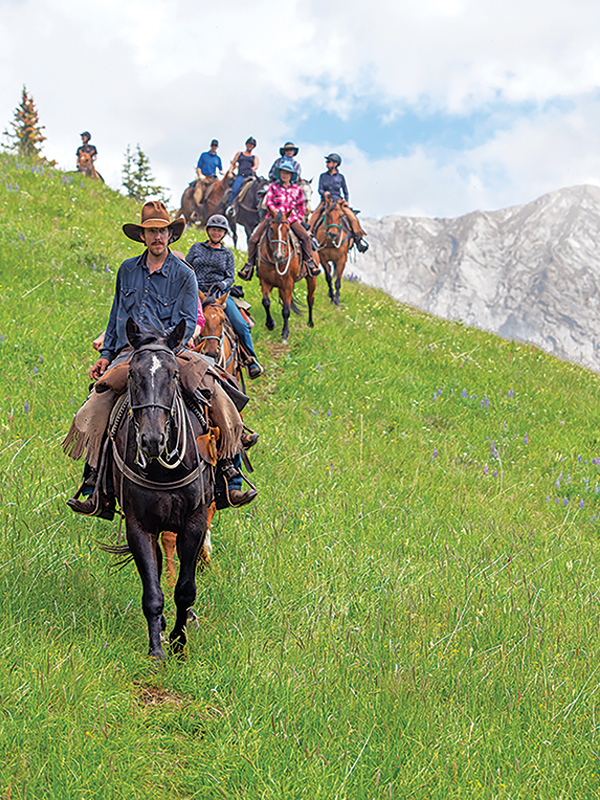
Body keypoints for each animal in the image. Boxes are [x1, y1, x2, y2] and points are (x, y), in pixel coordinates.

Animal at [107, 318, 215, 660]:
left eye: (174, 374)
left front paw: (180, 645)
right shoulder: (139, 526)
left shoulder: (194, 522)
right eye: (132, 374)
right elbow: (153, 591)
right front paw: (157, 649)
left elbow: (185, 590)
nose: (152, 441)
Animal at [257, 210, 316, 342]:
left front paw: (284, 335)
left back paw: (310, 323)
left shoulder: (288, 284)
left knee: (310, 298)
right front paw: (270, 324)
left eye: (288, 229)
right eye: (271, 228)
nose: (279, 255)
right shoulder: (266, 281)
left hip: (311, 279)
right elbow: (266, 302)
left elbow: (286, 311)